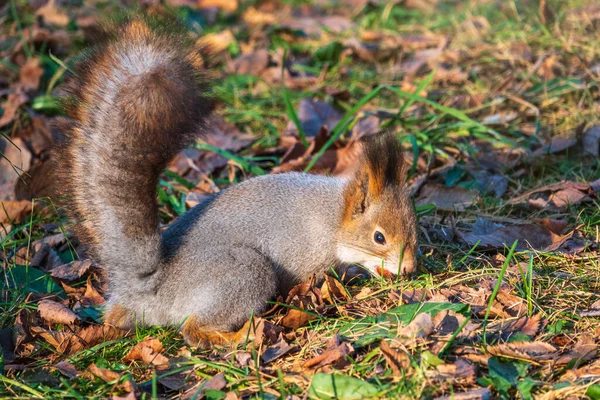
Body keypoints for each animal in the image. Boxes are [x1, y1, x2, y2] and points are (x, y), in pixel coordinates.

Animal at [54, 15, 420, 346]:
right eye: (378, 237)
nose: (409, 269)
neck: (332, 217)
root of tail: (144, 289)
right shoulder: (303, 254)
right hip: (242, 272)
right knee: (193, 328)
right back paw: (243, 336)